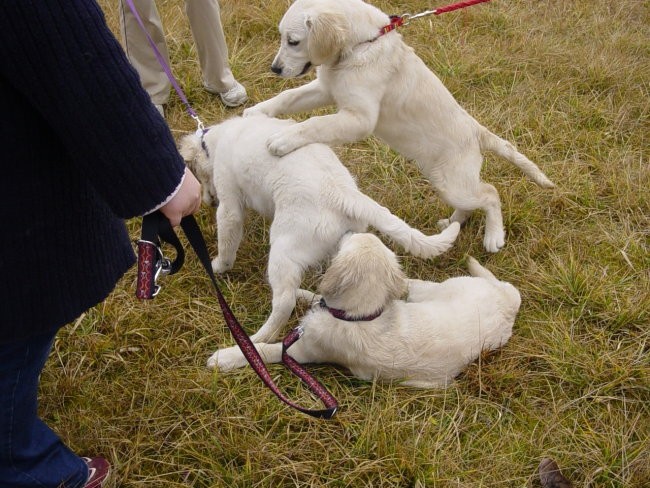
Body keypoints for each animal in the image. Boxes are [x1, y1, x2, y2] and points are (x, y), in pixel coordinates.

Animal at [180, 115, 458, 350]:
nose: (207, 202)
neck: (216, 141)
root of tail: (343, 193)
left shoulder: (229, 204)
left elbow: (227, 241)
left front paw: (217, 266)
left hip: (283, 249)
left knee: (284, 302)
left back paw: (257, 339)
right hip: (342, 244)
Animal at [210, 233, 520, 388]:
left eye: (349, 240)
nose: (349, 229)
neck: (357, 316)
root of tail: (508, 304)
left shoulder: (301, 351)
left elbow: (261, 350)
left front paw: (224, 358)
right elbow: (316, 297)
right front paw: (300, 292)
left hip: (438, 288)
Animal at [243, 0, 552, 254]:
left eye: (293, 41)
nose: (275, 69)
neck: (361, 44)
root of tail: (478, 132)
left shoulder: (360, 118)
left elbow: (316, 123)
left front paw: (283, 139)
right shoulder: (325, 89)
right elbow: (287, 97)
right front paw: (255, 112)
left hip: (453, 183)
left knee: (490, 194)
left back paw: (494, 236)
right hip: (447, 181)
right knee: (473, 202)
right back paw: (453, 222)